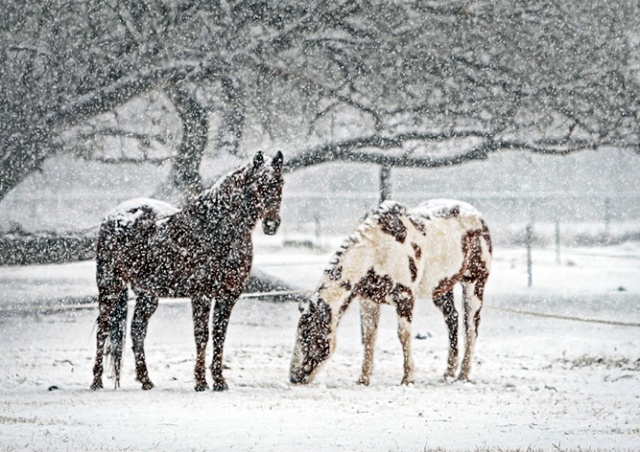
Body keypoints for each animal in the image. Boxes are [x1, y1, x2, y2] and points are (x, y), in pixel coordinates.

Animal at [90, 150, 282, 390]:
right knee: (103, 329)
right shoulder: (201, 294)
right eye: (259, 184)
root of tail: (113, 216)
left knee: (137, 331)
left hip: (147, 295)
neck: (218, 228)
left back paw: (146, 380)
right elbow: (202, 335)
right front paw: (201, 381)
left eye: (280, 183)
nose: (272, 224)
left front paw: (219, 381)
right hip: (110, 287)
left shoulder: (228, 295)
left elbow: (219, 336)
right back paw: (96, 381)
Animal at [292, 200, 492, 386]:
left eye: (310, 336)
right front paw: (363, 379)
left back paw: (463, 374)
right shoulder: (369, 301)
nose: (294, 377)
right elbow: (369, 337)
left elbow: (404, 335)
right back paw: (449, 372)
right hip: (441, 288)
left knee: (471, 327)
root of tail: (478, 217)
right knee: (452, 320)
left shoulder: (404, 298)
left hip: (474, 283)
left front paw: (408, 378)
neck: (376, 250)